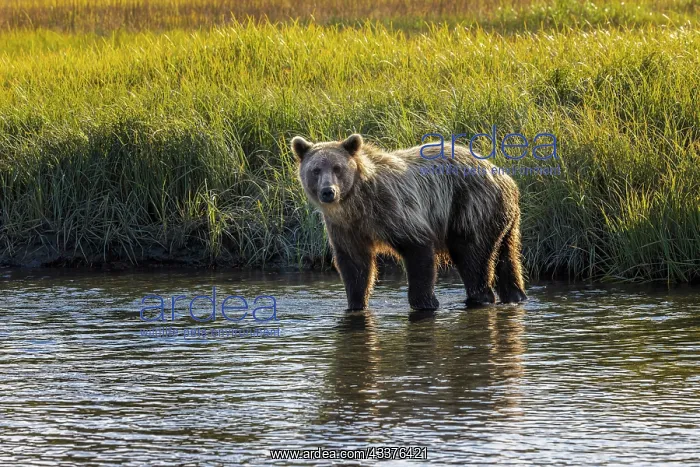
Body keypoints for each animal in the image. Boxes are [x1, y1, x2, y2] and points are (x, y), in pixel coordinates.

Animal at [290, 133, 527, 311]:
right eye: (315, 170)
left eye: (337, 168)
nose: (328, 191)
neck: (357, 205)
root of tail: (506, 177)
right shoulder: (345, 228)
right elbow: (355, 266)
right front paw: (356, 303)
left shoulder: (394, 210)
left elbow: (417, 251)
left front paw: (425, 302)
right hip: (505, 221)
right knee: (507, 258)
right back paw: (515, 295)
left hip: (471, 207)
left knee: (472, 257)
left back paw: (479, 297)